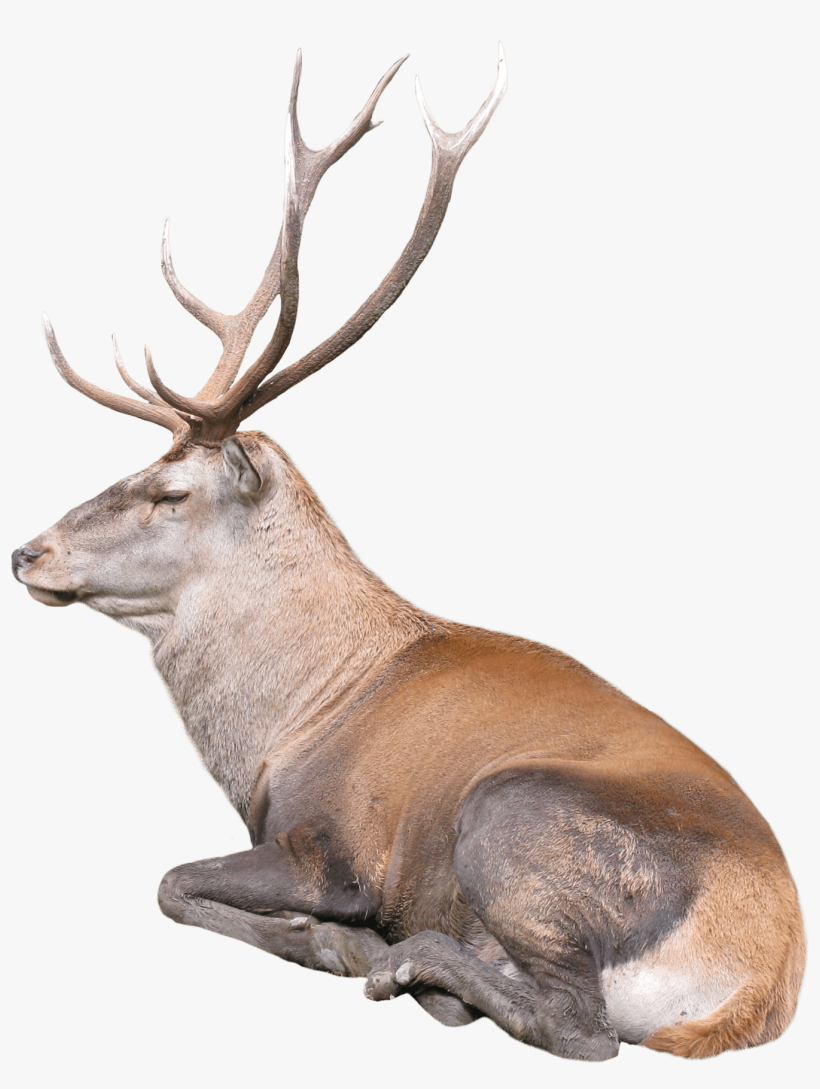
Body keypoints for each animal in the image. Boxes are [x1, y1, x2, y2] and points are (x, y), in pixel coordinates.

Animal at [11, 47, 804, 1063]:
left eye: (169, 491)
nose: (28, 551)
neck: (285, 726)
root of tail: (758, 986)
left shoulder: (332, 847)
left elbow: (171, 880)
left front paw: (337, 940)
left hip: (512, 813)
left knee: (581, 1028)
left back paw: (410, 963)